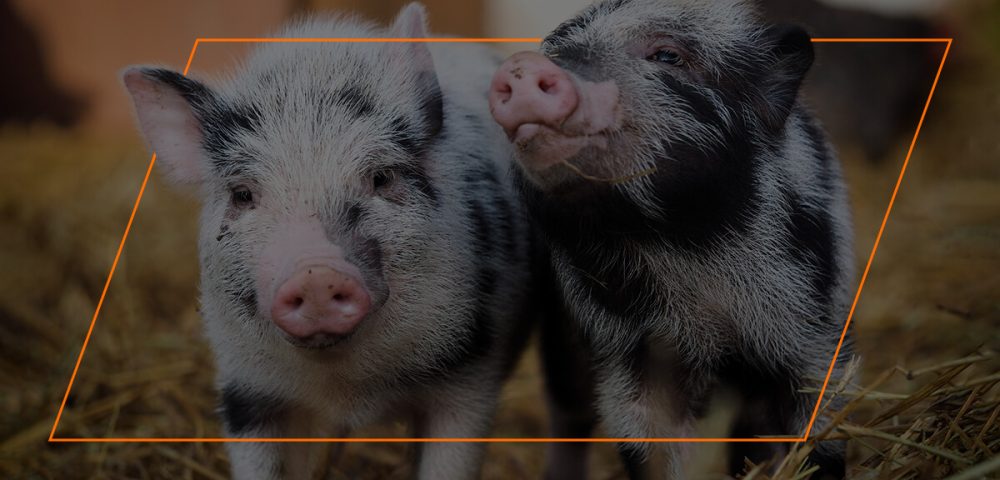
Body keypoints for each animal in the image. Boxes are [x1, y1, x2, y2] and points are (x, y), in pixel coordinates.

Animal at [123, 4, 537, 479]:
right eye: (243, 194)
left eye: (381, 177)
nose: (315, 273)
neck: (348, 391)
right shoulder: (246, 389)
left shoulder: (470, 381)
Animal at [489, 0, 855, 478]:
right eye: (554, 50)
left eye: (668, 56)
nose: (522, 66)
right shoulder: (628, 353)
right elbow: (652, 447)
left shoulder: (816, 331)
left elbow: (822, 431)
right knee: (570, 412)